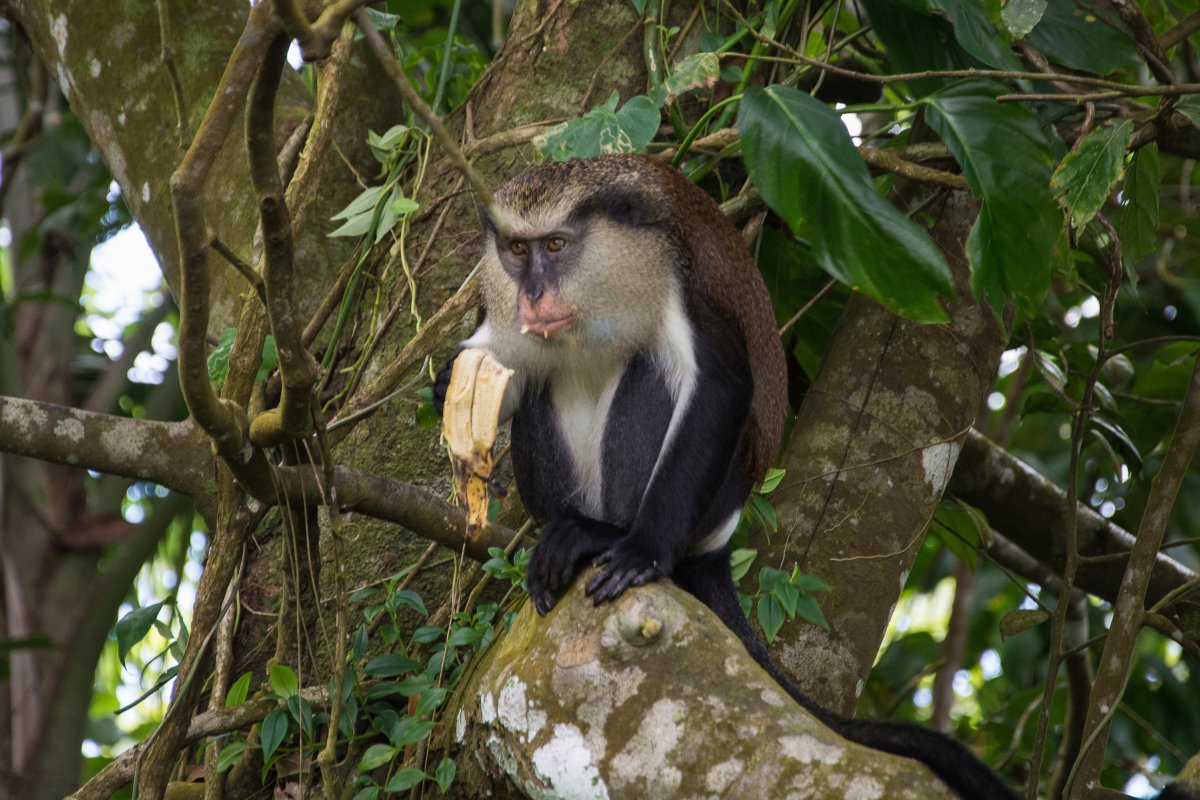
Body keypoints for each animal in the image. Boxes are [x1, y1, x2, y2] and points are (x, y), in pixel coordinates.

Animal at [436, 153, 1017, 796]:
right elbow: (504, 368)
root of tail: (718, 544)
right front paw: (447, 388)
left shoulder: (681, 286)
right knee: (547, 379)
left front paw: (641, 551)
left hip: (706, 504)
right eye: (517, 250)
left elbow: (719, 387)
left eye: (557, 245)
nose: (532, 295)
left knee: (648, 371)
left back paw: (600, 535)